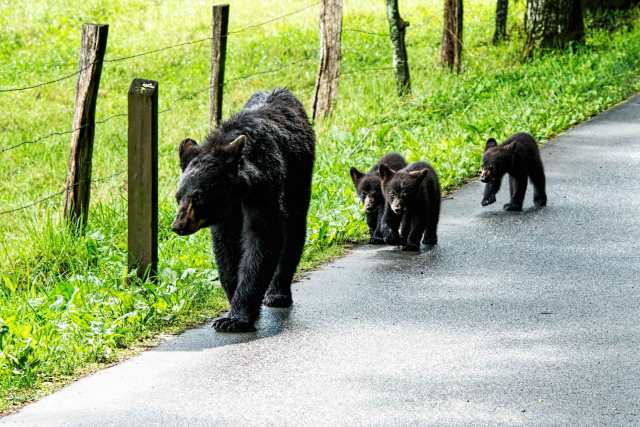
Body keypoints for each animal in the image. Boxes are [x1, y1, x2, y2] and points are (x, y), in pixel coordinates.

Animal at [171, 88, 315, 333]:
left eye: (198, 196)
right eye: (178, 196)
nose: (178, 225)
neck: (237, 193)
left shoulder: (264, 189)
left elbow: (262, 239)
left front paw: (235, 318)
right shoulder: (226, 214)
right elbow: (226, 247)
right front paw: (233, 302)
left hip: (299, 177)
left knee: (294, 229)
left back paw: (278, 294)